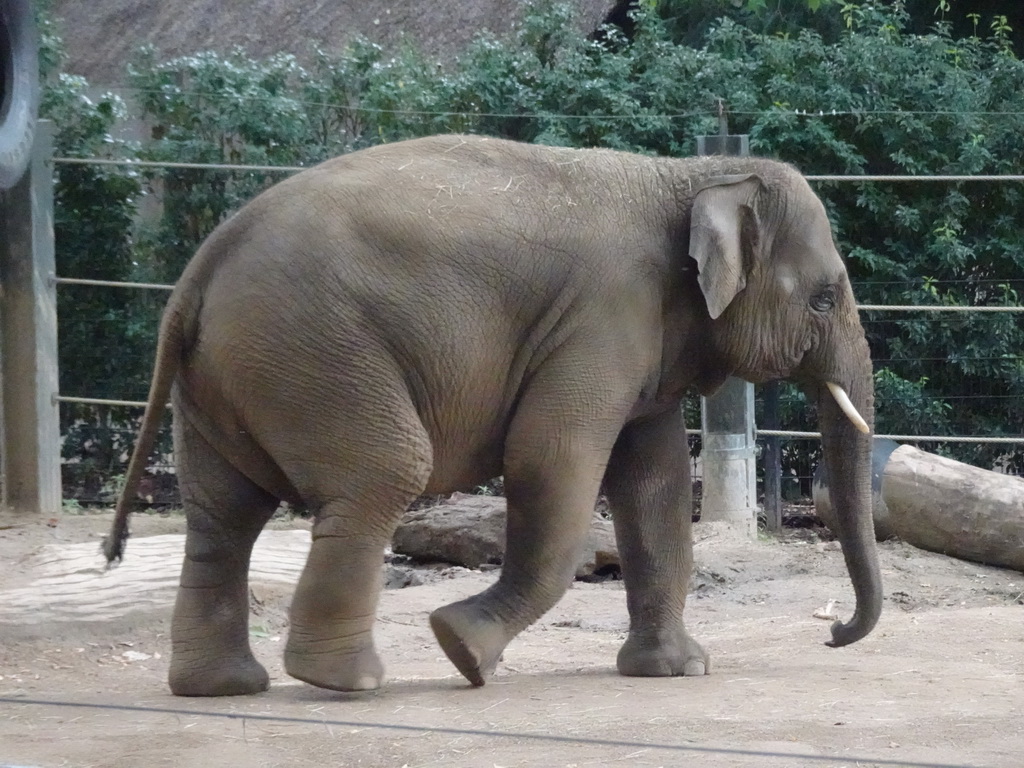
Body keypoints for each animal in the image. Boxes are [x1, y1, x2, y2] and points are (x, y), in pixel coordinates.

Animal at [108, 132, 884, 696]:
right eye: (824, 299)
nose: (831, 632)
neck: (690, 175)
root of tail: (200, 267)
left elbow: (655, 485)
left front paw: (677, 670)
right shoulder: (601, 319)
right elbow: (552, 458)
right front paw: (462, 651)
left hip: (231, 374)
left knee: (222, 515)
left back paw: (224, 687)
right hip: (312, 350)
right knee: (384, 472)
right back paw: (346, 681)